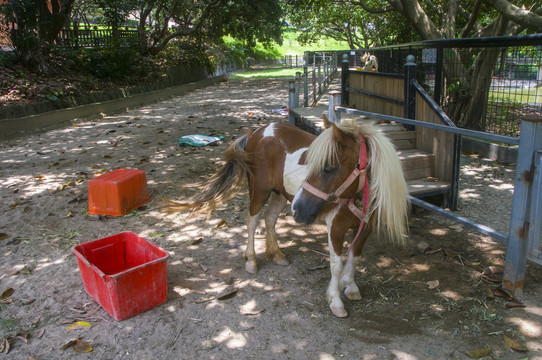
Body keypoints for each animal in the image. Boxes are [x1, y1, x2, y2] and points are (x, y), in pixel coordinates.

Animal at [164, 116, 410, 316]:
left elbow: (354, 257)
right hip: (260, 192)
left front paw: (350, 286)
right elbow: (336, 264)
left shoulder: (366, 228)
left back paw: (278, 254)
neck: (358, 197)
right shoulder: (336, 228)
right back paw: (251, 261)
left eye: (329, 167)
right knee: (252, 221)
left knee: (270, 219)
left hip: (280, 194)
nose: (299, 209)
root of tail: (256, 132)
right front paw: (336, 301)